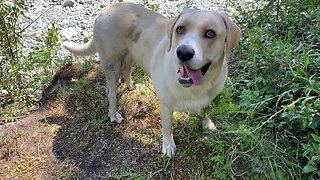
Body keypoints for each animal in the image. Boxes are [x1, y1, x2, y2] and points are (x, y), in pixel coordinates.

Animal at [62, 2, 240, 157]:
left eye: (210, 33)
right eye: (180, 29)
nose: (183, 53)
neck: (197, 86)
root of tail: (105, 10)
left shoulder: (208, 99)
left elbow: (205, 111)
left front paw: (207, 124)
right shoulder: (166, 107)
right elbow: (167, 127)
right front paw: (168, 146)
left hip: (131, 55)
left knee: (127, 69)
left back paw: (130, 86)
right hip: (112, 63)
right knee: (111, 91)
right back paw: (113, 114)